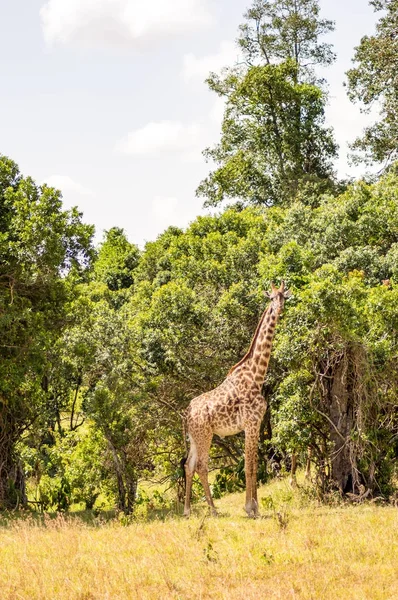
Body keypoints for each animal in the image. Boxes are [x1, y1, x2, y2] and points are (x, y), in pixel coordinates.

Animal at [183, 282, 290, 516]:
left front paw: (255, 506)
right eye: (271, 298)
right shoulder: (250, 423)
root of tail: (186, 413)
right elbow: (249, 466)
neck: (257, 375)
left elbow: (255, 464)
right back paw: (213, 510)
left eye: (283, 297)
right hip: (205, 435)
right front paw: (250, 508)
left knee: (188, 465)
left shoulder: (256, 424)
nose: (278, 309)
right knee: (201, 466)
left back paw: (186, 510)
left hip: (194, 438)